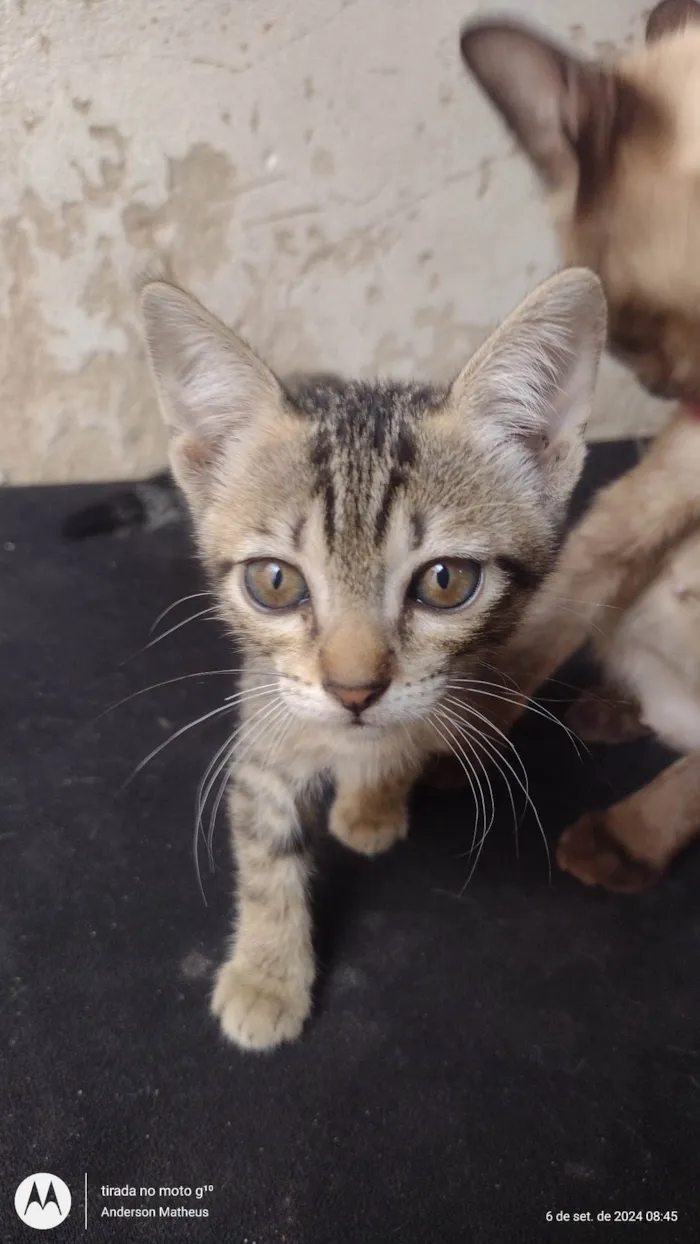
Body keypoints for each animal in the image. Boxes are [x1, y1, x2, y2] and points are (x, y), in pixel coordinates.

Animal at [139, 272, 604, 1049]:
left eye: (446, 581)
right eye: (275, 582)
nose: (354, 690)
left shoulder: (442, 693)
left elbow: (402, 742)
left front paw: (370, 804)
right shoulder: (263, 726)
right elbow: (266, 850)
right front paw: (267, 974)